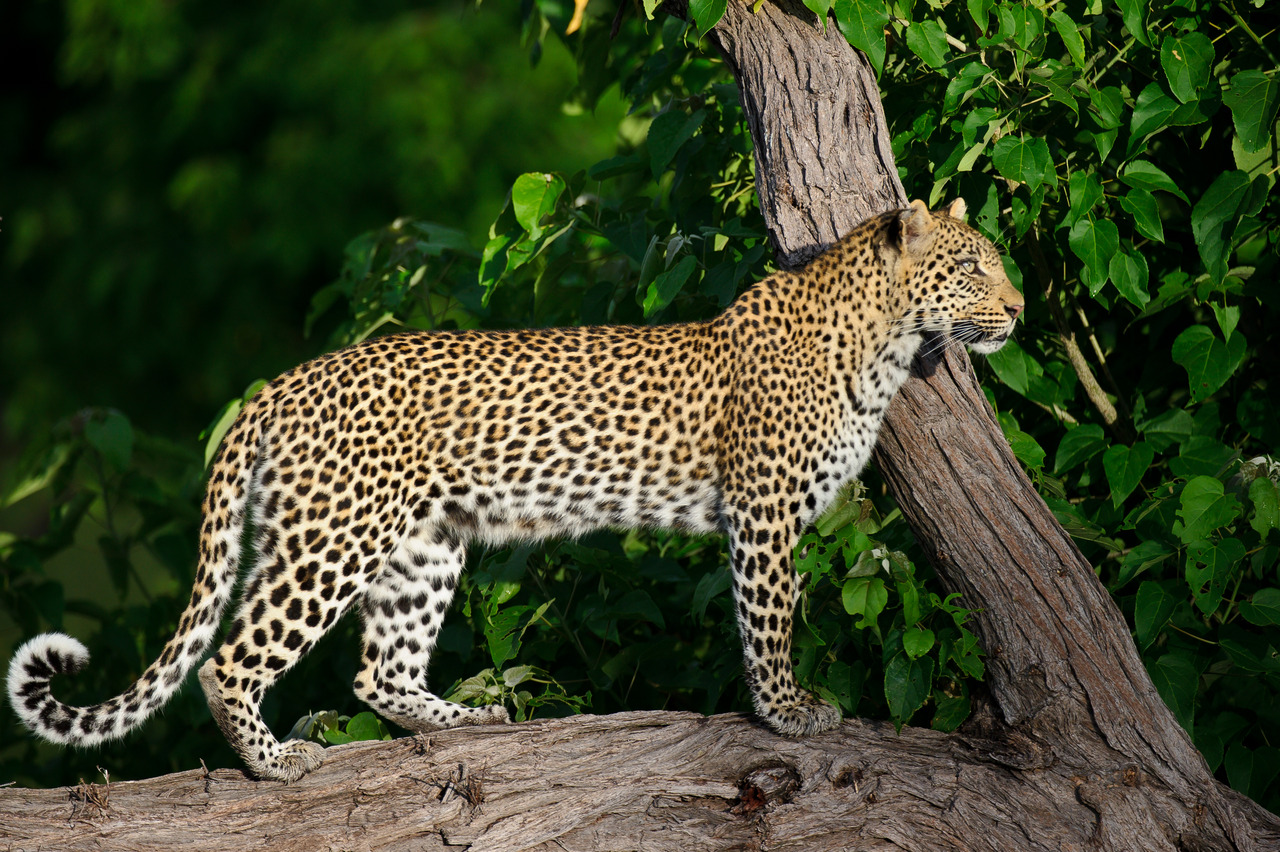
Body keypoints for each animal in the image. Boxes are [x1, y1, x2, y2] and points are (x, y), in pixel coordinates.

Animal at [8, 199, 1023, 782]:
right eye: (973, 267)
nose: (1017, 309)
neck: (882, 340)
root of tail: (282, 384)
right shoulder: (763, 510)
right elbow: (768, 620)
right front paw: (789, 712)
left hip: (422, 547)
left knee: (379, 671)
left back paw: (473, 720)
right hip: (335, 539)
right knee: (231, 659)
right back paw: (274, 764)